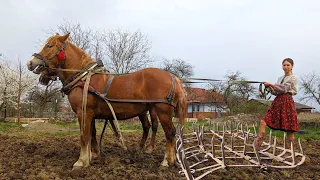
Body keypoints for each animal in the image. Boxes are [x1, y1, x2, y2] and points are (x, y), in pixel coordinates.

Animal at [28, 32, 188, 169]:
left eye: (49, 46)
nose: (30, 63)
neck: (84, 78)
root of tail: (173, 77)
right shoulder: (90, 114)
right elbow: (91, 133)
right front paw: (93, 155)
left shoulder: (83, 112)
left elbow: (83, 135)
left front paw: (81, 161)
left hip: (162, 111)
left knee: (169, 133)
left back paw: (166, 161)